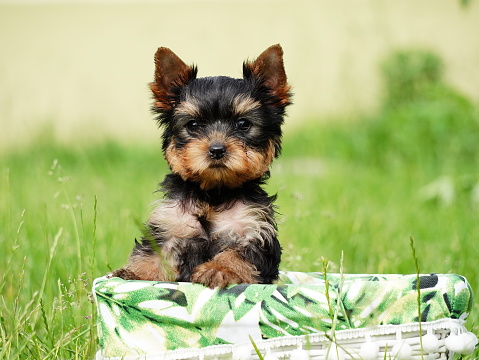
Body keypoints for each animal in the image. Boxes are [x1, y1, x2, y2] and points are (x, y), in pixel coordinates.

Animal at [112, 43, 292, 288]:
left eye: (243, 124)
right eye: (193, 125)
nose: (216, 149)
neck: (214, 192)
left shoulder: (255, 231)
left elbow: (239, 254)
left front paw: (218, 269)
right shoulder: (170, 226)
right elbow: (153, 254)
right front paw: (136, 273)